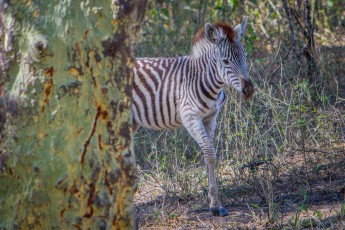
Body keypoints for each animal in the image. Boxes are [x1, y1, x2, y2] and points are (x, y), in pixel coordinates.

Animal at [132, 17, 253, 217]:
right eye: (225, 61)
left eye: (245, 57)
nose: (249, 90)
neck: (205, 79)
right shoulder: (191, 117)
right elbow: (210, 153)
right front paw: (215, 204)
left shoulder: (211, 118)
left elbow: (209, 154)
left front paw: (213, 203)